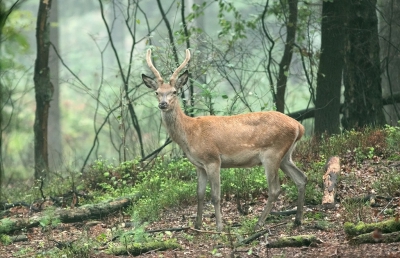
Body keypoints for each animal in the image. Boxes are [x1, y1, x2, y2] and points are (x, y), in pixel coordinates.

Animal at [142, 48, 308, 232]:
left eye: (174, 92)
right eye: (157, 92)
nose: (163, 104)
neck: (190, 134)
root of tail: (299, 127)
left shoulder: (212, 159)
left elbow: (215, 195)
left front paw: (219, 227)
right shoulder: (199, 165)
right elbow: (199, 194)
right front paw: (197, 225)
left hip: (272, 153)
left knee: (275, 189)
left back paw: (259, 223)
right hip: (286, 156)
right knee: (301, 178)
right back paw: (297, 220)